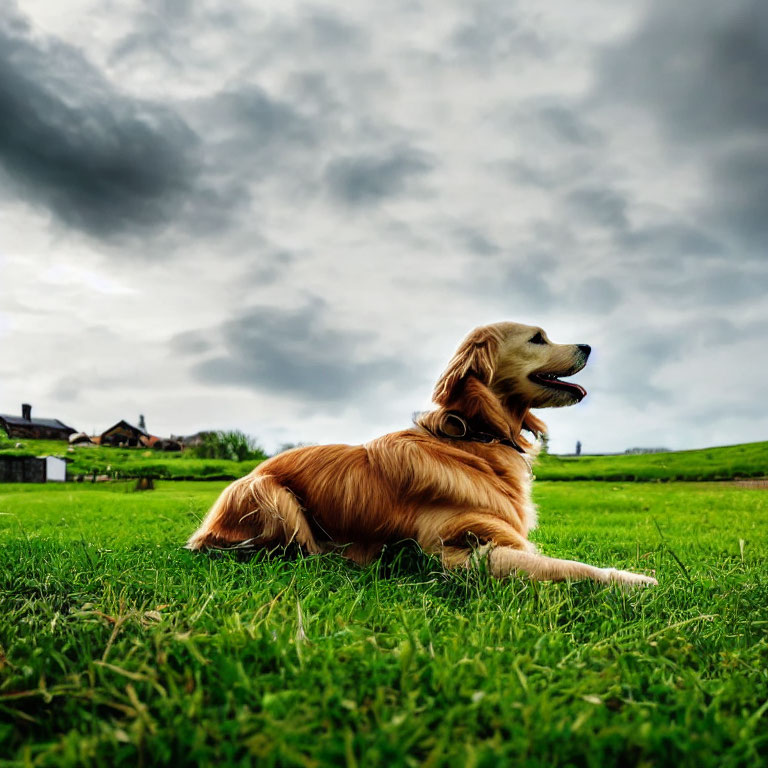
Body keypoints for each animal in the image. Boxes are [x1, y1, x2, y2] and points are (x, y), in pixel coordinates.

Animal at [184, 320, 656, 584]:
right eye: (538, 338)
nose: (588, 347)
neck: (476, 438)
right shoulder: (461, 552)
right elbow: (572, 567)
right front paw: (637, 581)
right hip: (269, 493)